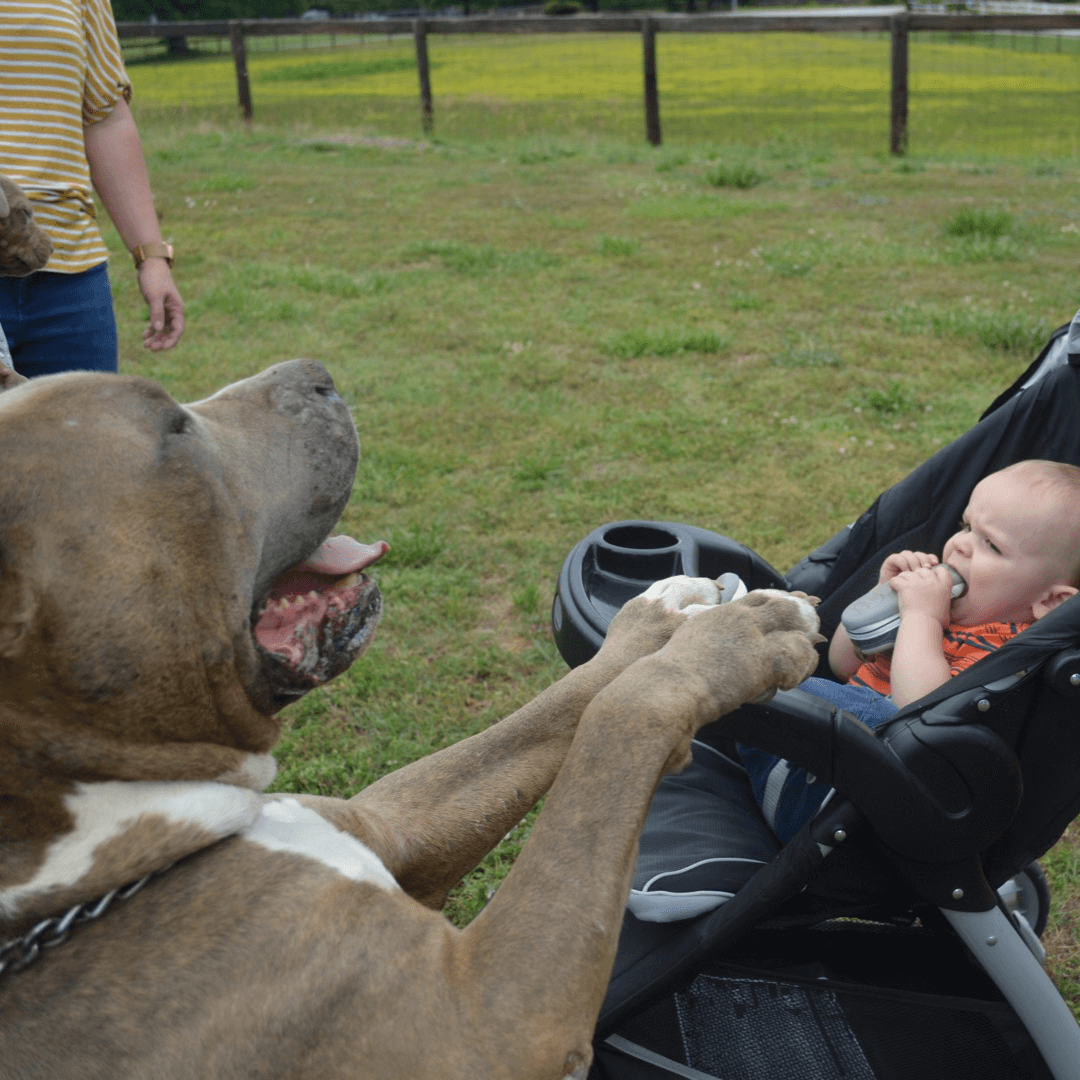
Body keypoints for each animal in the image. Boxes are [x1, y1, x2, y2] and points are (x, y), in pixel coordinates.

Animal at [0, 362, 816, 1080]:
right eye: (171, 429)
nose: (314, 370)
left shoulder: (395, 827)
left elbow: (557, 714)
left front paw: (668, 615)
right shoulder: (495, 1018)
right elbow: (618, 727)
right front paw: (736, 640)